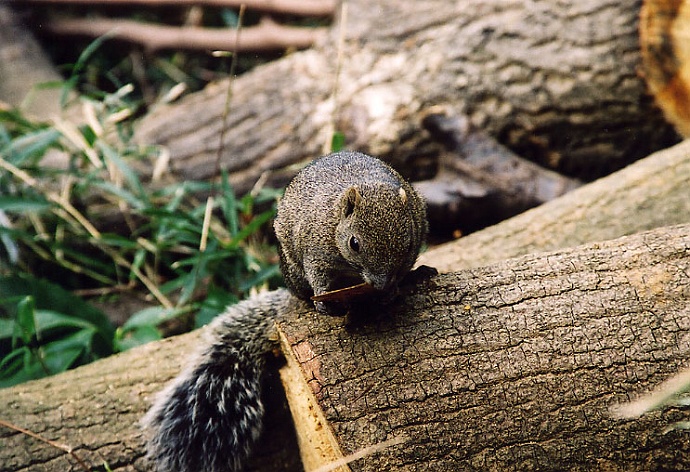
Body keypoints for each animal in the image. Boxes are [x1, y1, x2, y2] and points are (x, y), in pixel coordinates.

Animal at [142, 151, 428, 472]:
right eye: (354, 243)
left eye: (406, 241)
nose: (379, 284)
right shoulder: (316, 253)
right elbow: (319, 277)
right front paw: (325, 303)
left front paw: (392, 291)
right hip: (292, 269)